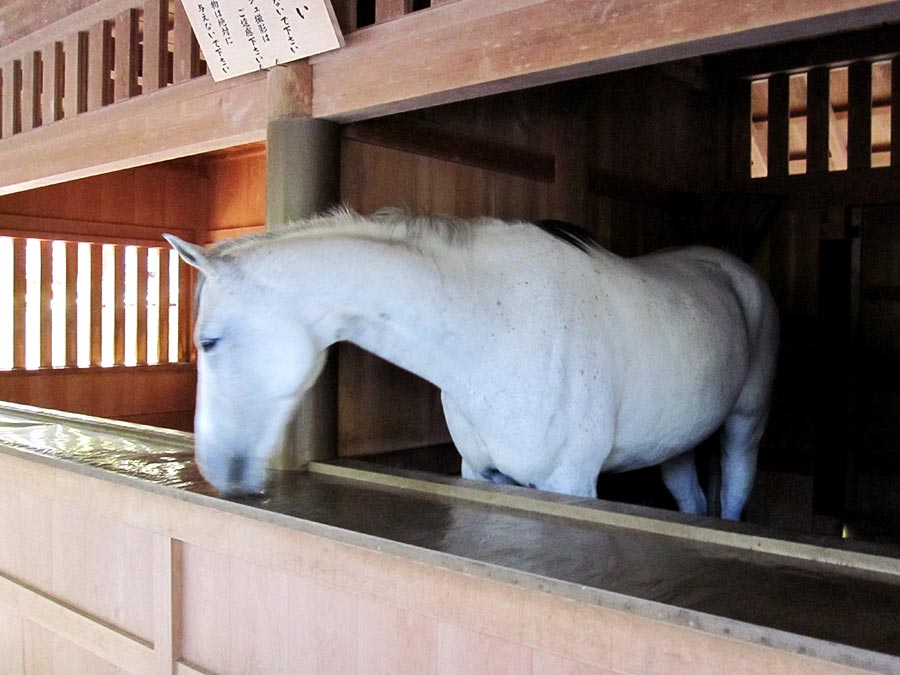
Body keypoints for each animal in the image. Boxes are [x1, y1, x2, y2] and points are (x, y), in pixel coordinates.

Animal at [165, 208, 778, 520]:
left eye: (209, 342)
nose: (213, 467)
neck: (494, 332)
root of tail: (732, 269)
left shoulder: (571, 482)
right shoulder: (478, 473)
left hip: (745, 427)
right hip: (676, 444)